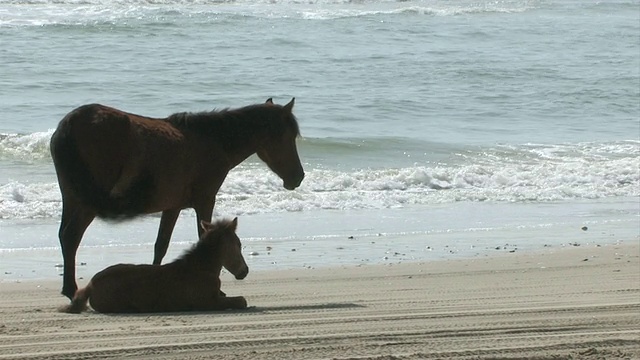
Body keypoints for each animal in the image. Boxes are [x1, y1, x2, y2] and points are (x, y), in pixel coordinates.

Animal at [50, 97, 304, 300]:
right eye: (288, 136)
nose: (298, 176)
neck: (212, 140)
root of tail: (70, 123)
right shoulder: (205, 200)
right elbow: (202, 236)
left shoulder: (172, 207)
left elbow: (160, 246)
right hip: (86, 203)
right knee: (71, 236)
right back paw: (70, 289)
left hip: (71, 197)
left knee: (64, 236)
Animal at [58, 218, 248, 314]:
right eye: (238, 244)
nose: (244, 271)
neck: (200, 268)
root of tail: (90, 285)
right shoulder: (208, 302)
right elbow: (242, 301)